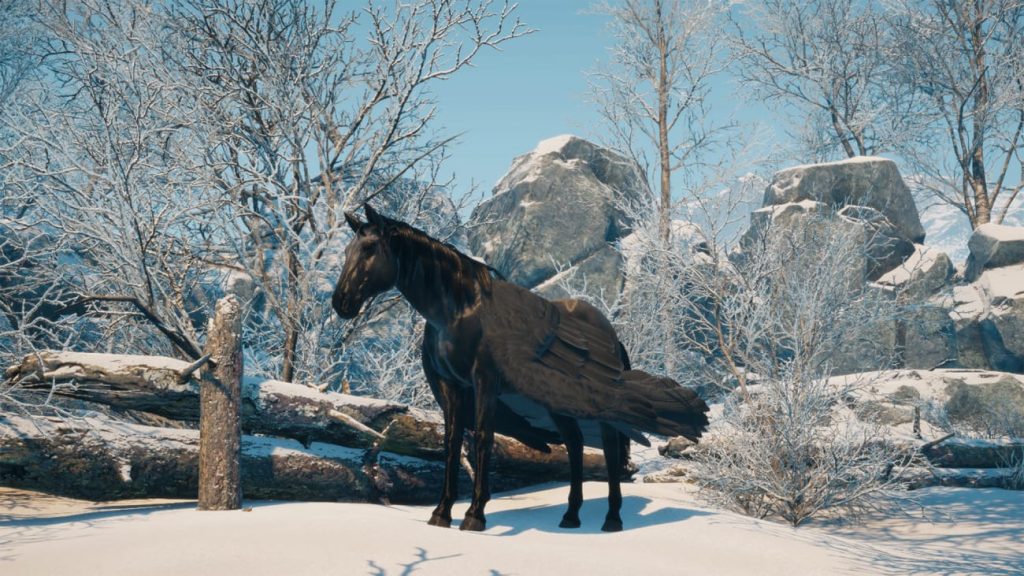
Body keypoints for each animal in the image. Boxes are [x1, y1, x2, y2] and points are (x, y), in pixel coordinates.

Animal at [332, 204, 709, 532]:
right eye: (349, 249)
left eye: (370, 248)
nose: (341, 302)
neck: (458, 311)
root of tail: (612, 336)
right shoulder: (453, 387)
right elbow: (452, 442)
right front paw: (441, 512)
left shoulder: (485, 383)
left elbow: (483, 439)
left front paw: (475, 514)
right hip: (558, 406)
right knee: (574, 445)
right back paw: (571, 515)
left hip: (596, 404)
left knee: (610, 446)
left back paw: (612, 519)